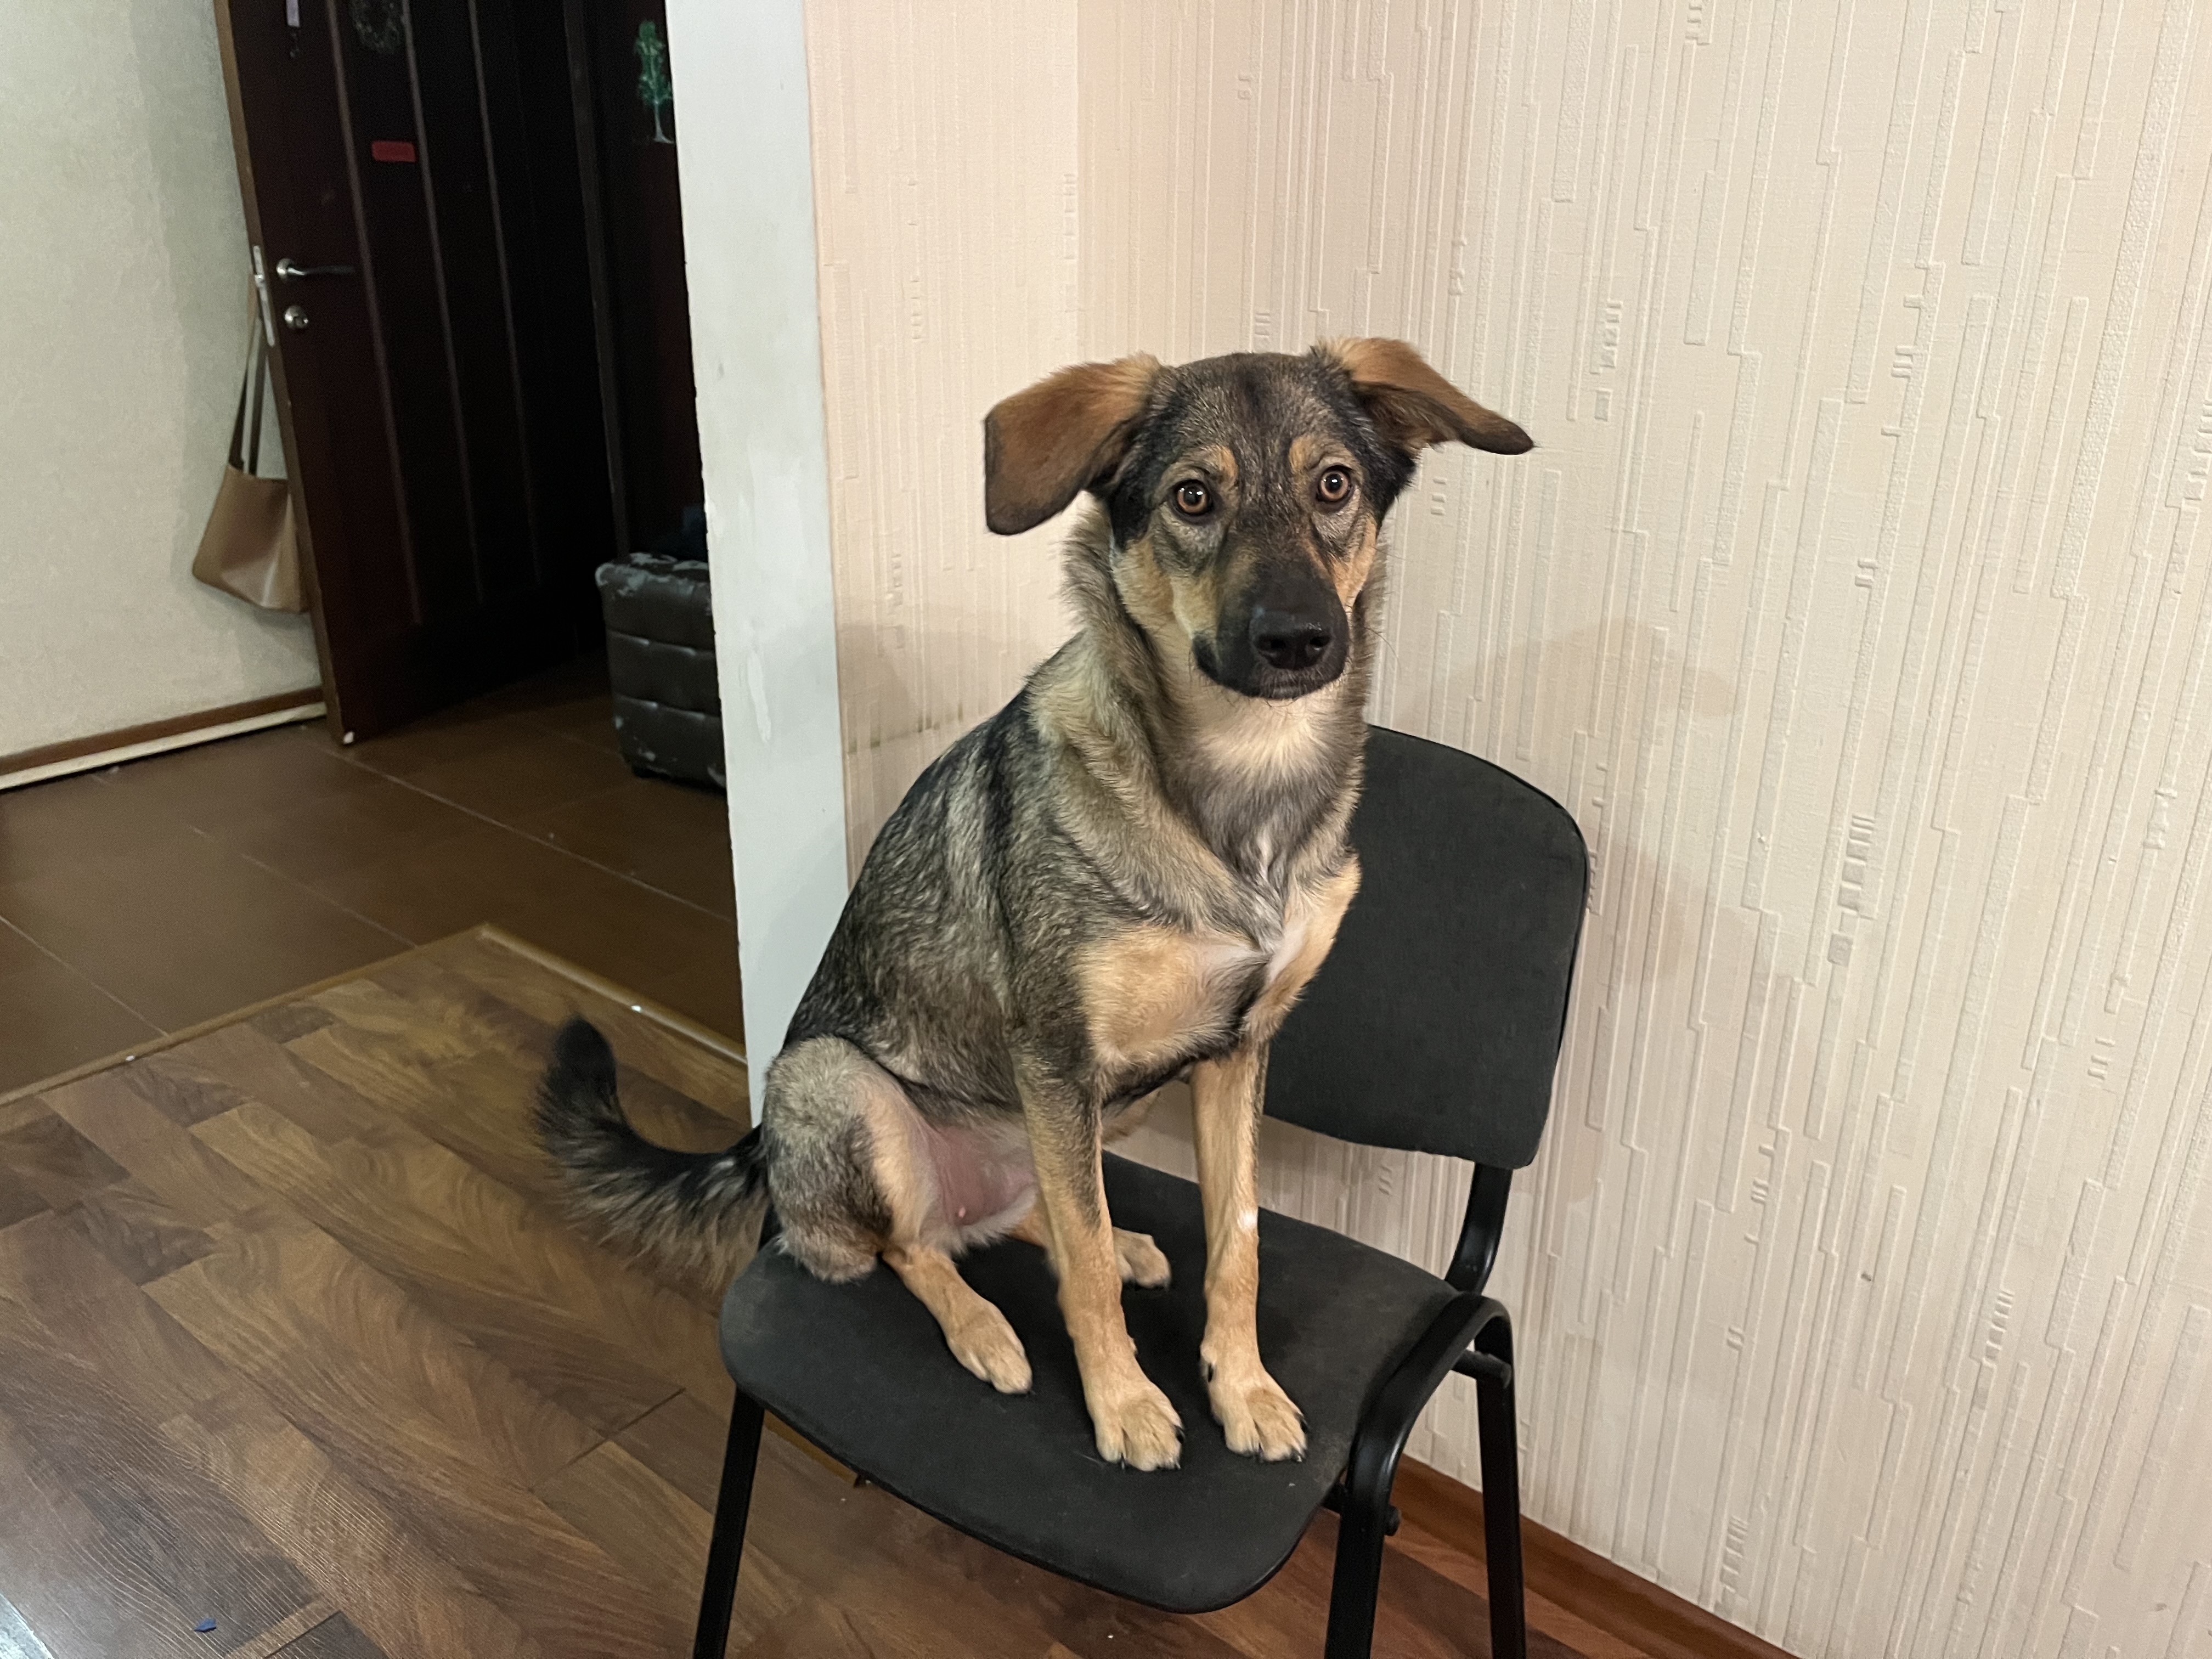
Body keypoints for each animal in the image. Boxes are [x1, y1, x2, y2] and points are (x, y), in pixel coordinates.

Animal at [539, 339, 1530, 1470]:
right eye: (1193, 497)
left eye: (1335, 486)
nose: (1300, 640)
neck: (1240, 791)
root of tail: (768, 1163)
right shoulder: (1057, 1050)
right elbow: (1084, 1270)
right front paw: (1125, 1403)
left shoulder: (1235, 1050)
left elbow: (1234, 1242)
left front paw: (1242, 1386)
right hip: (841, 1081)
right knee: (914, 1243)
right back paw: (984, 1328)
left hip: (1089, 1109)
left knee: (1032, 1216)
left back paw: (1119, 1243)